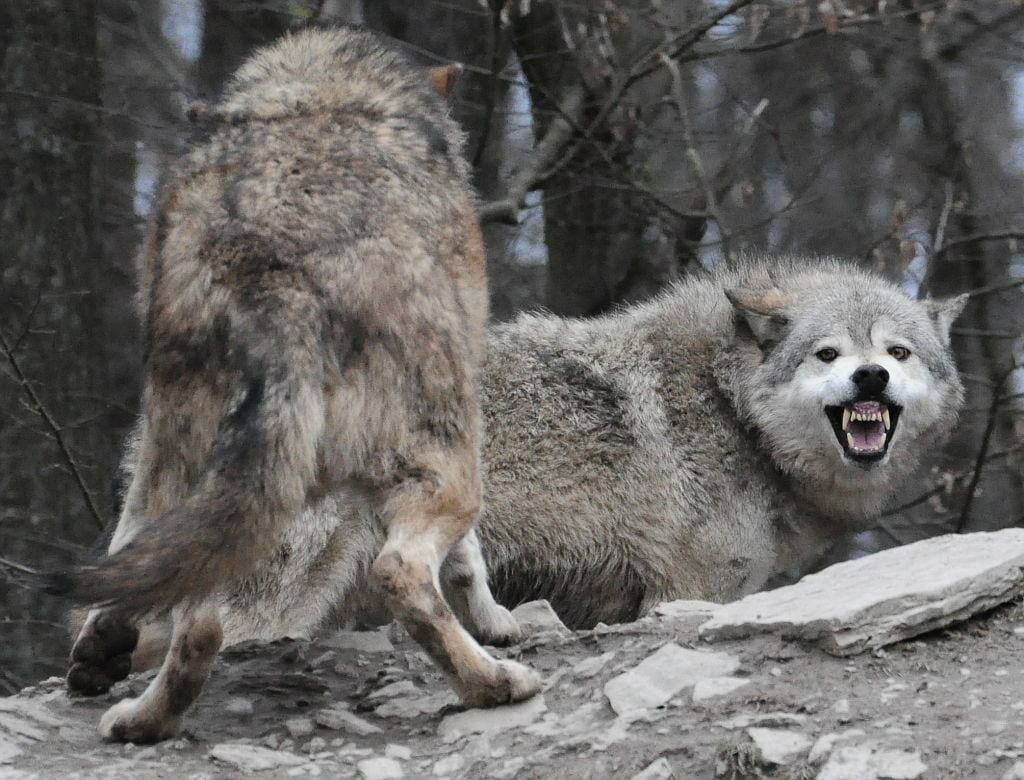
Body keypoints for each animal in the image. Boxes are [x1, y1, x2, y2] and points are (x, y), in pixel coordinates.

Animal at [55, 25, 540, 741]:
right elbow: (469, 560)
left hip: (192, 468)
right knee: (395, 574)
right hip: (443, 467)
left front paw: (100, 650)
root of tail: (273, 264)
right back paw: (495, 685)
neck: (319, 91)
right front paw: (497, 624)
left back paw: (137, 715)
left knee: (190, 610)